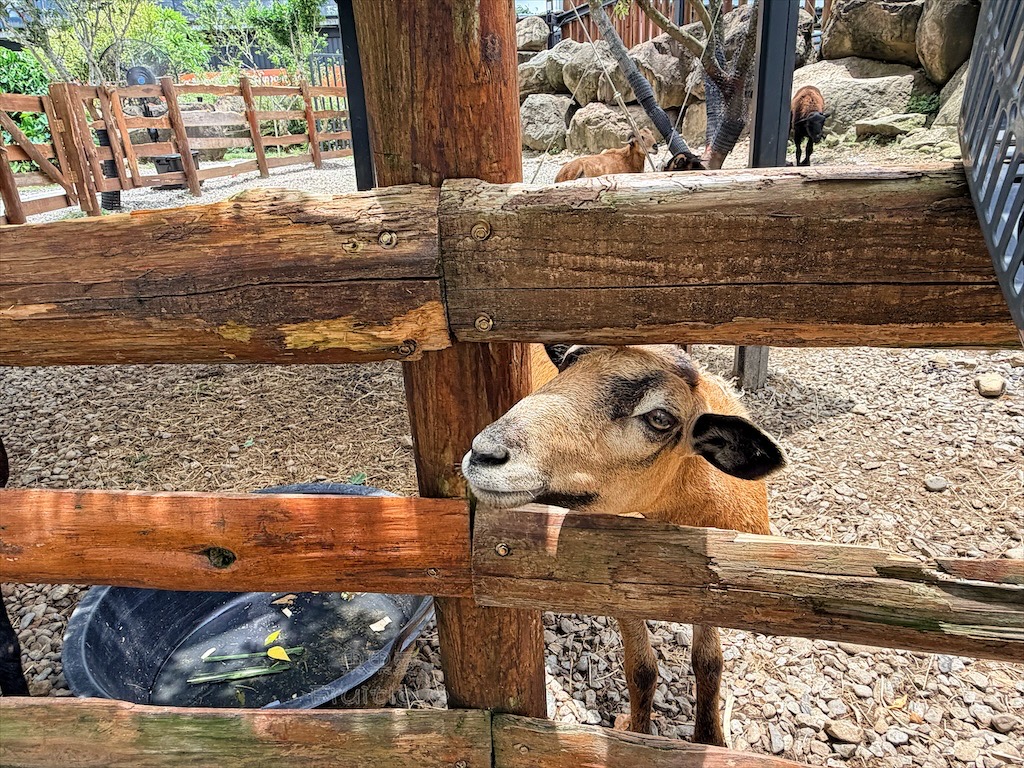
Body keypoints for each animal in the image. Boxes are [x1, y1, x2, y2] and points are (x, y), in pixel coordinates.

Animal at [463, 344, 787, 746]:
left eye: (660, 418)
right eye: (567, 365)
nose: (484, 453)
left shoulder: (716, 584)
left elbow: (710, 662)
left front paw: (711, 739)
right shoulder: (618, 584)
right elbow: (642, 669)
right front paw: (640, 736)